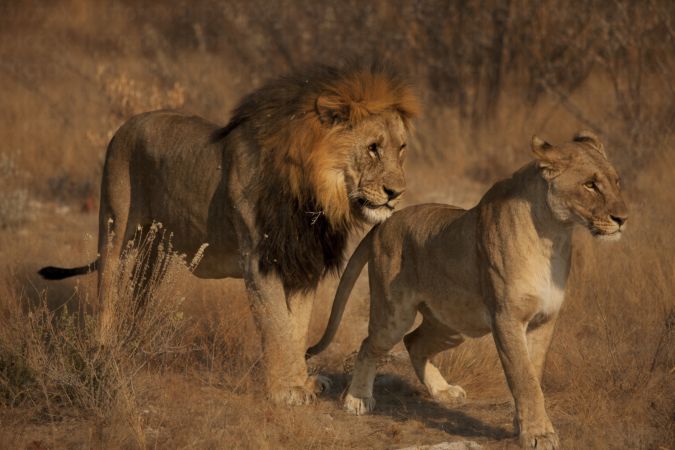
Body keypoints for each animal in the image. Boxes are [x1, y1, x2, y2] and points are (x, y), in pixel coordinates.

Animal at [38, 64, 420, 405]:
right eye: (373, 147)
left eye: (401, 149)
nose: (397, 193)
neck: (317, 196)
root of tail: (127, 123)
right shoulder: (260, 263)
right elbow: (277, 325)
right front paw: (285, 391)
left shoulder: (301, 266)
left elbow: (297, 328)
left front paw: (302, 383)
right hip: (115, 226)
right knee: (107, 291)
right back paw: (102, 351)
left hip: (155, 251)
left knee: (139, 294)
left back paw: (135, 343)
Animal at [306, 132, 628, 448]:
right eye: (590, 184)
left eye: (616, 181)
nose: (623, 219)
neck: (554, 235)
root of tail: (384, 223)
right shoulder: (506, 318)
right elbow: (524, 379)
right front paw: (539, 434)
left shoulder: (544, 319)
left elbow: (533, 375)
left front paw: (524, 425)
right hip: (393, 315)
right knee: (369, 345)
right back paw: (357, 399)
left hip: (455, 323)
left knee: (414, 342)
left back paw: (442, 391)